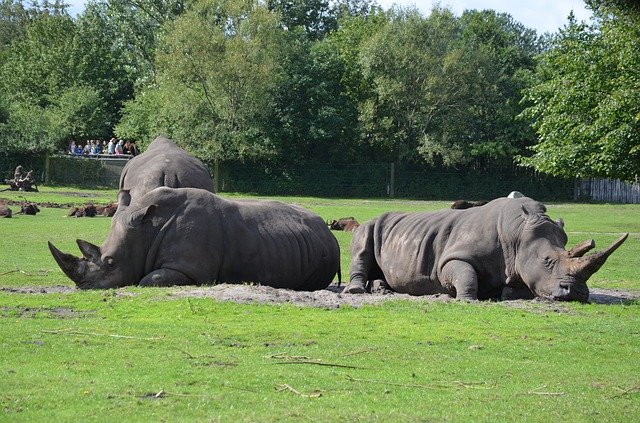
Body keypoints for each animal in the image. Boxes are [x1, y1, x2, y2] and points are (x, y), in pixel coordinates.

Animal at [48, 188, 340, 292]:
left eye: (110, 262)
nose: (83, 287)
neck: (147, 230)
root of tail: (328, 233)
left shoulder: (190, 269)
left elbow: (147, 279)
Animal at [344, 197, 632, 304]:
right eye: (547, 261)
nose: (577, 294)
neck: (517, 235)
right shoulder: (452, 257)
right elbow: (464, 273)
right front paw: (467, 299)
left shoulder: (518, 266)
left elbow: (518, 286)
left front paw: (507, 295)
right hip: (370, 226)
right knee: (362, 245)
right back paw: (357, 291)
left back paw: (382, 289)